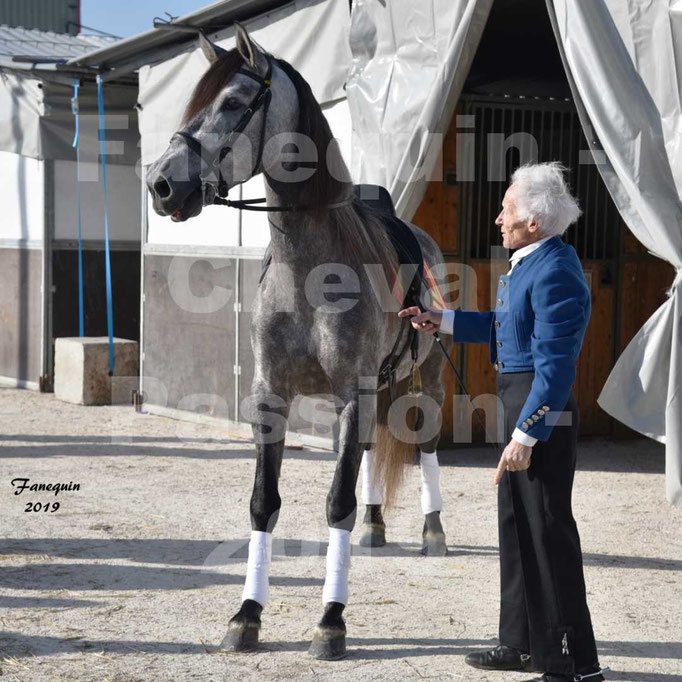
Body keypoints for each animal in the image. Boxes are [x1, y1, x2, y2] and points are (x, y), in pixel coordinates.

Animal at [145, 24, 452, 660]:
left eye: (234, 102)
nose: (161, 185)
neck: (308, 271)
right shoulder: (273, 397)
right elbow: (265, 503)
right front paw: (247, 614)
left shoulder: (354, 394)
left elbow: (335, 503)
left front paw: (331, 621)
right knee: (369, 457)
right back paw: (375, 526)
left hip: (427, 383)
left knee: (429, 447)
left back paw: (433, 531)